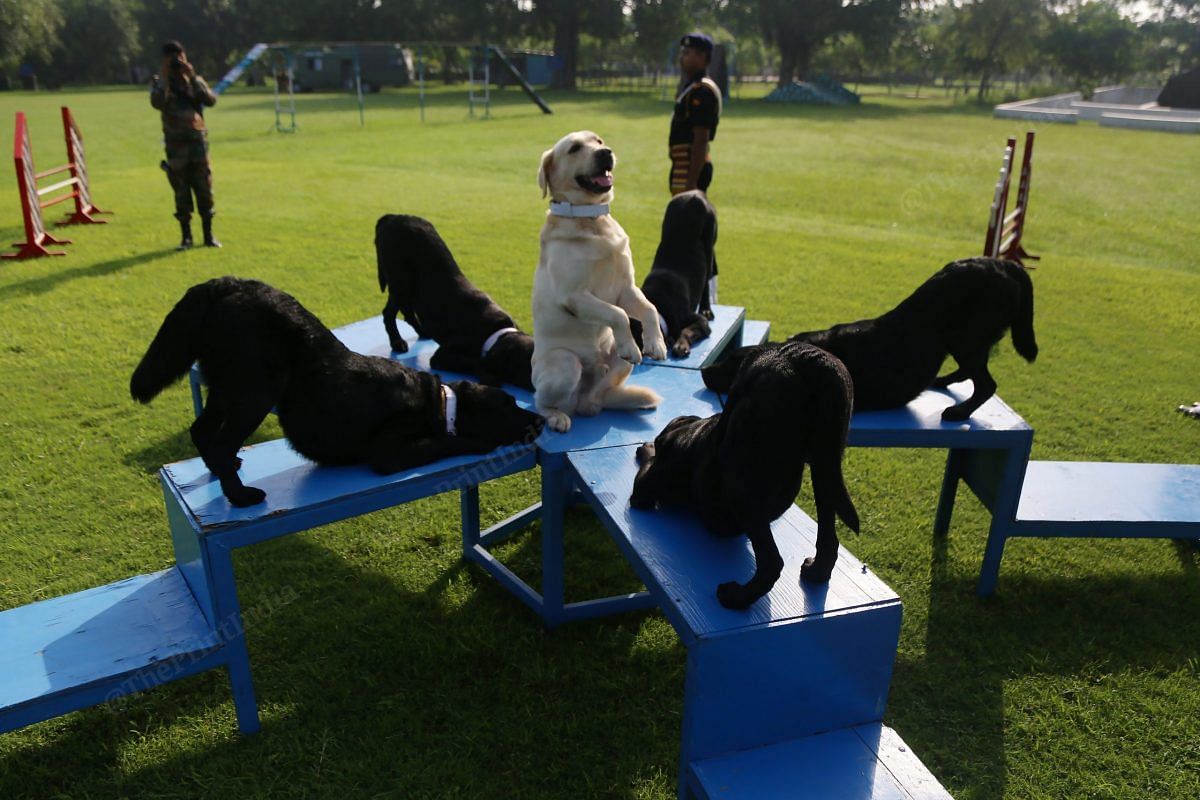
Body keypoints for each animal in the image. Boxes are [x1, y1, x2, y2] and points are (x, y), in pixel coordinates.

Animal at [132, 278, 544, 510]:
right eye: (510, 405)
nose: (539, 419)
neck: (443, 403)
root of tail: (223, 285)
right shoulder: (388, 452)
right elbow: (445, 441)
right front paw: (477, 442)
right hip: (254, 389)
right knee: (218, 438)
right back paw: (240, 496)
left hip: (226, 385)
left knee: (202, 430)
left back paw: (224, 469)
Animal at [374, 211, 535, 388]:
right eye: (530, 366)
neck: (496, 333)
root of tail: (394, 216)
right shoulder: (442, 355)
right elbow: (474, 360)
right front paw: (488, 374)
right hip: (400, 281)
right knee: (389, 312)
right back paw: (397, 342)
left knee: (406, 310)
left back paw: (422, 332)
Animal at [628, 338, 864, 606]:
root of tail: (806, 358)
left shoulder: (643, 491)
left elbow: (647, 465)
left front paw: (647, 447)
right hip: (826, 466)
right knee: (828, 537)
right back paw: (816, 572)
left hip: (742, 482)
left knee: (772, 562)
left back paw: (736, 597)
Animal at [633, 189, 715, 357]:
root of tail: (695, 194)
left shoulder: (698, 321)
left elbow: (687, 330)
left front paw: (680, 345)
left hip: (709, 238)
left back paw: (706, 310)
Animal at [705, 257, 1036, 422]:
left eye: (731, 362)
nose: (704, 371)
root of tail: (1005, 264)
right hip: (965, 340)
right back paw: (944, 383)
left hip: (966, 336)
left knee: (986, 383)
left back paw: (959, 411)